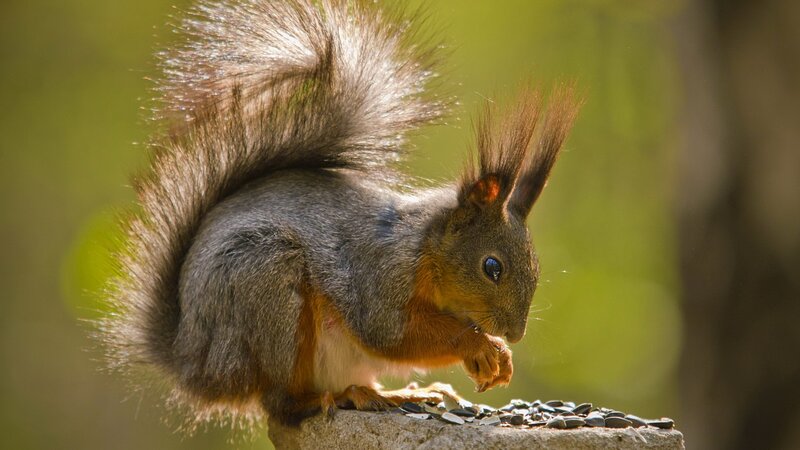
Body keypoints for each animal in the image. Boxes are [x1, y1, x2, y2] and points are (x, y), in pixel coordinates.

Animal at [100, 0, 579, 428]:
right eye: (491, 267)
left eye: (535, 267)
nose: (515, 333)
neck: (424, 247)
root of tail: (194, 364)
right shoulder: (378, 276)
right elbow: (391, 333)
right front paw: (482, 347)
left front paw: (499, 354)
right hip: (268, 288)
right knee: (281, 404)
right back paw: (330, 398)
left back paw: (395, 392)